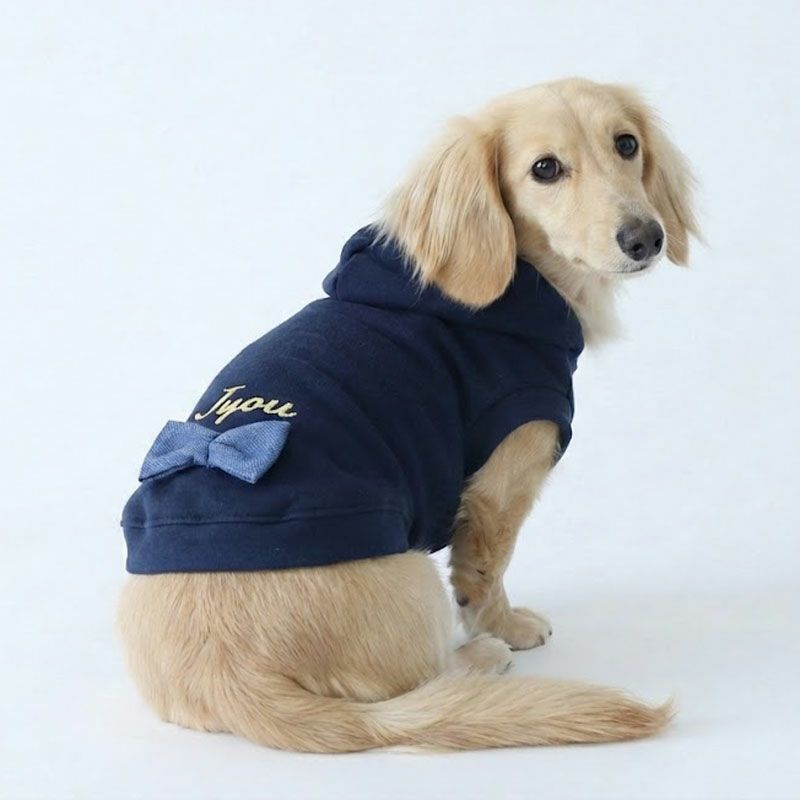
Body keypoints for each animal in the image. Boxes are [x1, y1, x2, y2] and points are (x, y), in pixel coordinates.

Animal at [118, 77, 699, 752]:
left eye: (626, 144)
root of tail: (236, 682)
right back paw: (480, 659)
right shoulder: (502, 486)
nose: (645, 238)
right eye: (545, 169)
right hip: (412, 572)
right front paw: (505, 626)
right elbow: (484, 573)